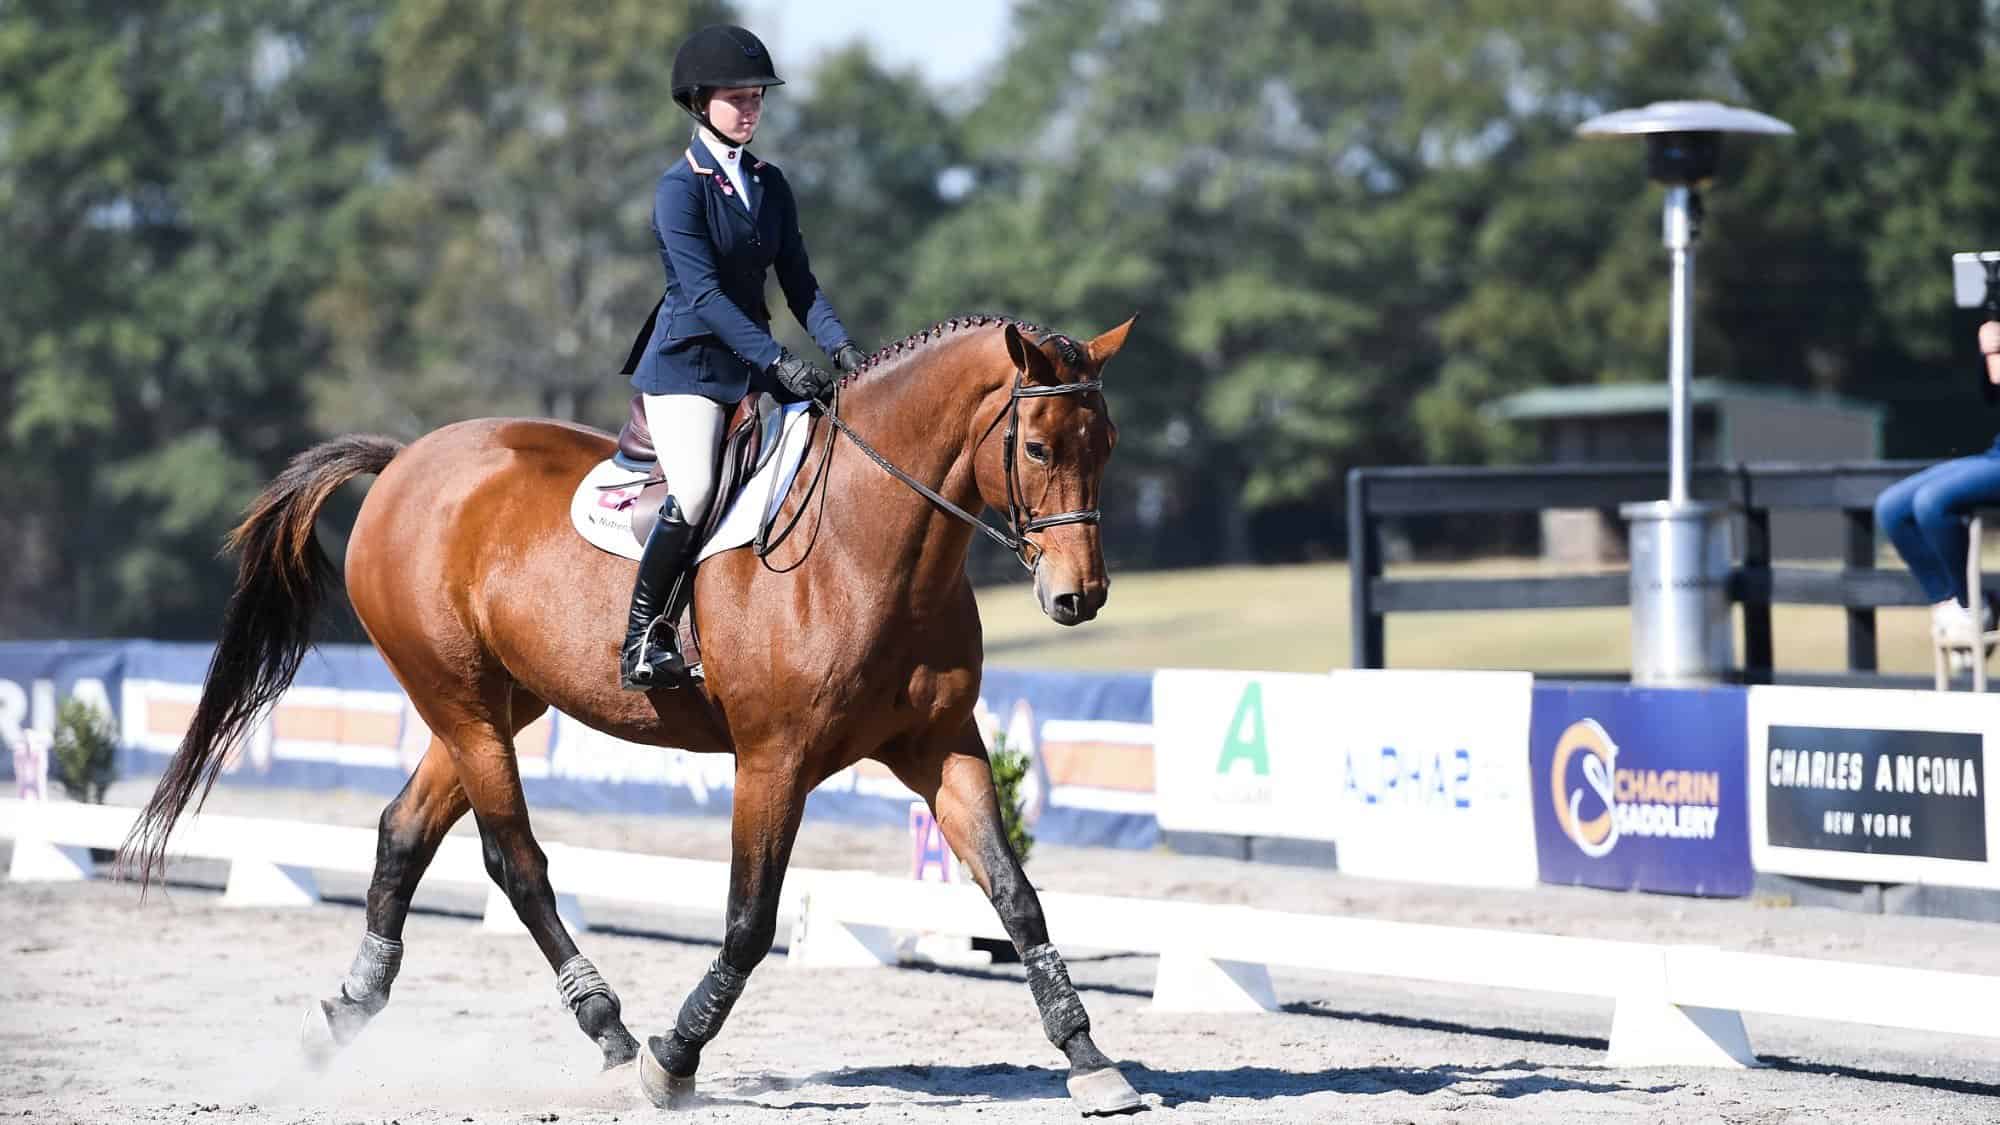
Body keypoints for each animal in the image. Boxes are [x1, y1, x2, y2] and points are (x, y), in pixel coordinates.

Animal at [125, 312, 1152, 1112]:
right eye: (1036, 447)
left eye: (1106, 446)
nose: (1081, 597)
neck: (868, 543)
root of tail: (406, 460)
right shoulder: (773, 760)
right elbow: (748, 920)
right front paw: (674, 1060)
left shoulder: (941, 746)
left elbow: (1016, 895)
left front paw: (1089, 1057)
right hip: (460, 701)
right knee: (516, 861)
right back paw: (611, 1030)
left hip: (498, 703)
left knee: (403, 829)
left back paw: (348, 1008)